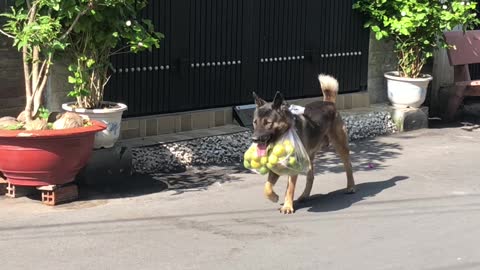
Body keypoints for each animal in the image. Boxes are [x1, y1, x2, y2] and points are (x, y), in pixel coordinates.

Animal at [253, 73, 354, 213]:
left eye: (268, 123)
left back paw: (350, 187)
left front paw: (287, 206)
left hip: (340, 146)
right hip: (309, 157)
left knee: (348, 166)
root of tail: (328, 103)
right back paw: (304, 196)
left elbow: (289, 188)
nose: (254, 139)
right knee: (310, 177)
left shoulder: (293, 167)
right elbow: (267, 187)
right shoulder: (276, 164)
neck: (284, 134)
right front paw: (274, 197)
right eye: (255, 122)